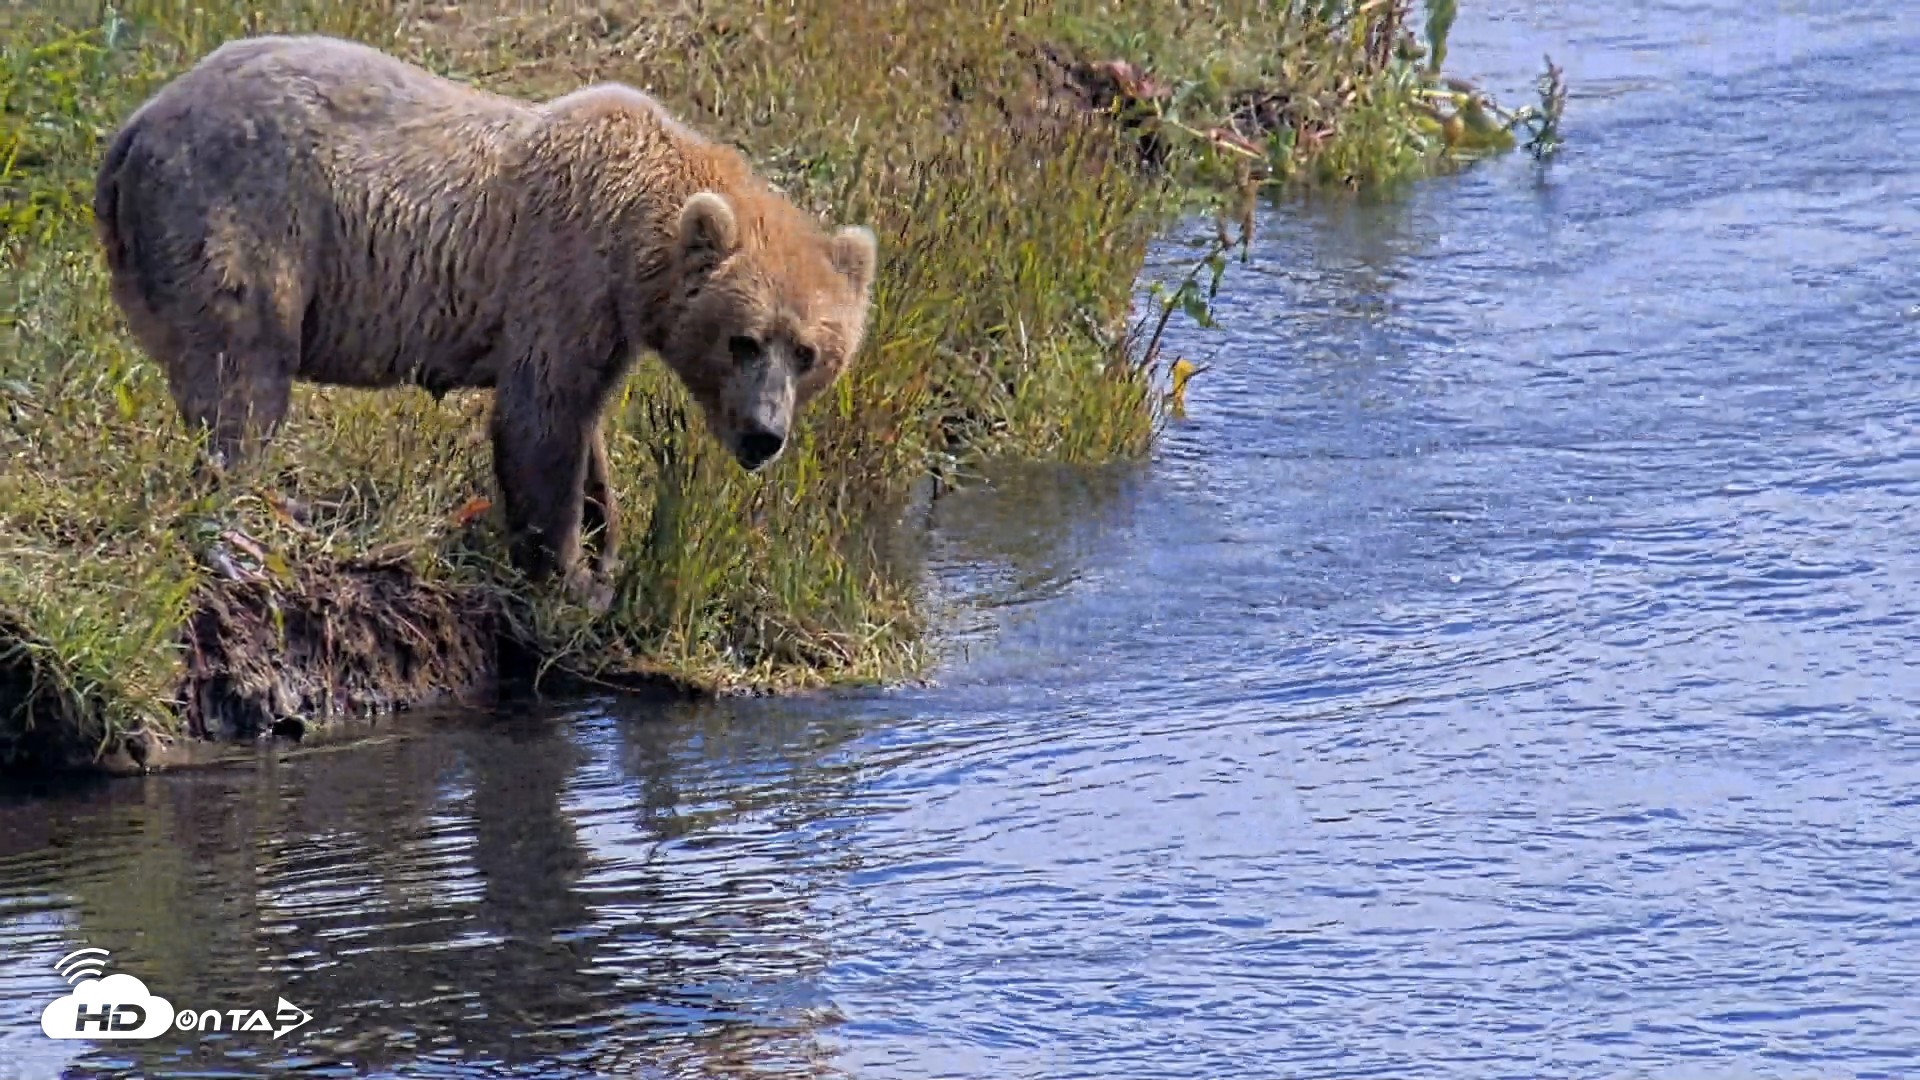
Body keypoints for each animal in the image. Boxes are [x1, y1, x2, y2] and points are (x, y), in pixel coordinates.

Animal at [92, 33, 879, 587]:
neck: (638, 237)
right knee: (243, 378)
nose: (763, 435)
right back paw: (234, 533)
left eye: (808, 352)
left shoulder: (607, 317)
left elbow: (584, 422)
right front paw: (566, 573)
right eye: (743, 340)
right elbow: (541, 417)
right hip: (240, 211)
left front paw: (606, 541)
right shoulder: (565, 263)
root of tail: (134, 127)